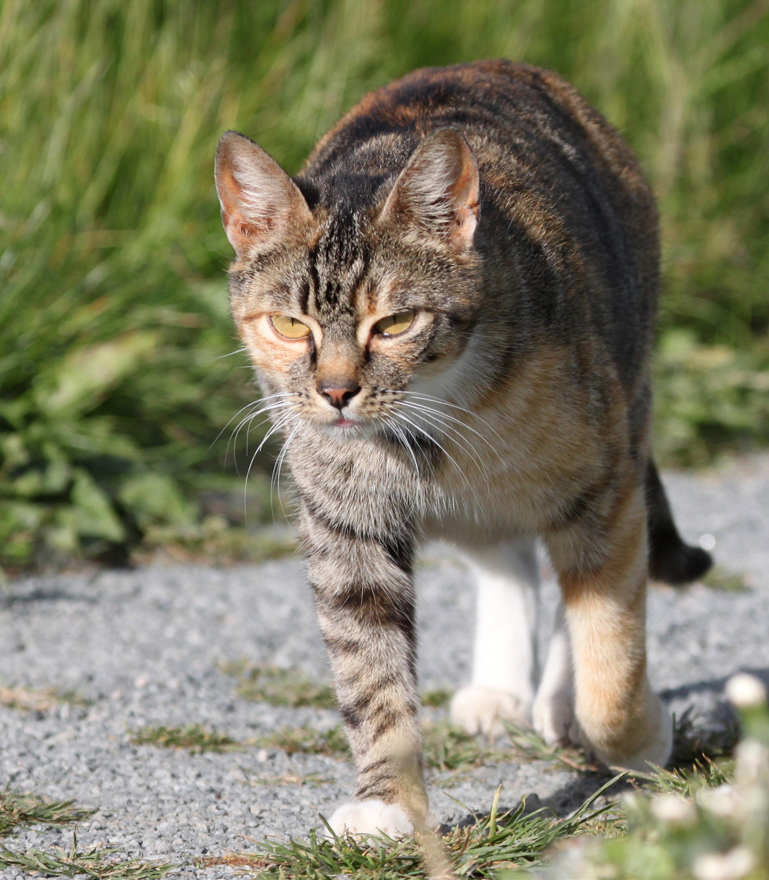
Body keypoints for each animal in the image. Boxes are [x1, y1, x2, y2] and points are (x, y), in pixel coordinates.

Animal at [213, 58, 712, 836]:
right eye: (291, 326)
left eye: (394, 323)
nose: (335, 392)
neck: (434, 419)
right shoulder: (343, 517)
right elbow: (369, 665)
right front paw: (386, 803)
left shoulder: (601, 478)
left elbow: (610, 633)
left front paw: (635, 738)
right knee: (505, 553)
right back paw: (500, 688)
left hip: (625, 399)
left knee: (577, 570)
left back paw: (558, 702)